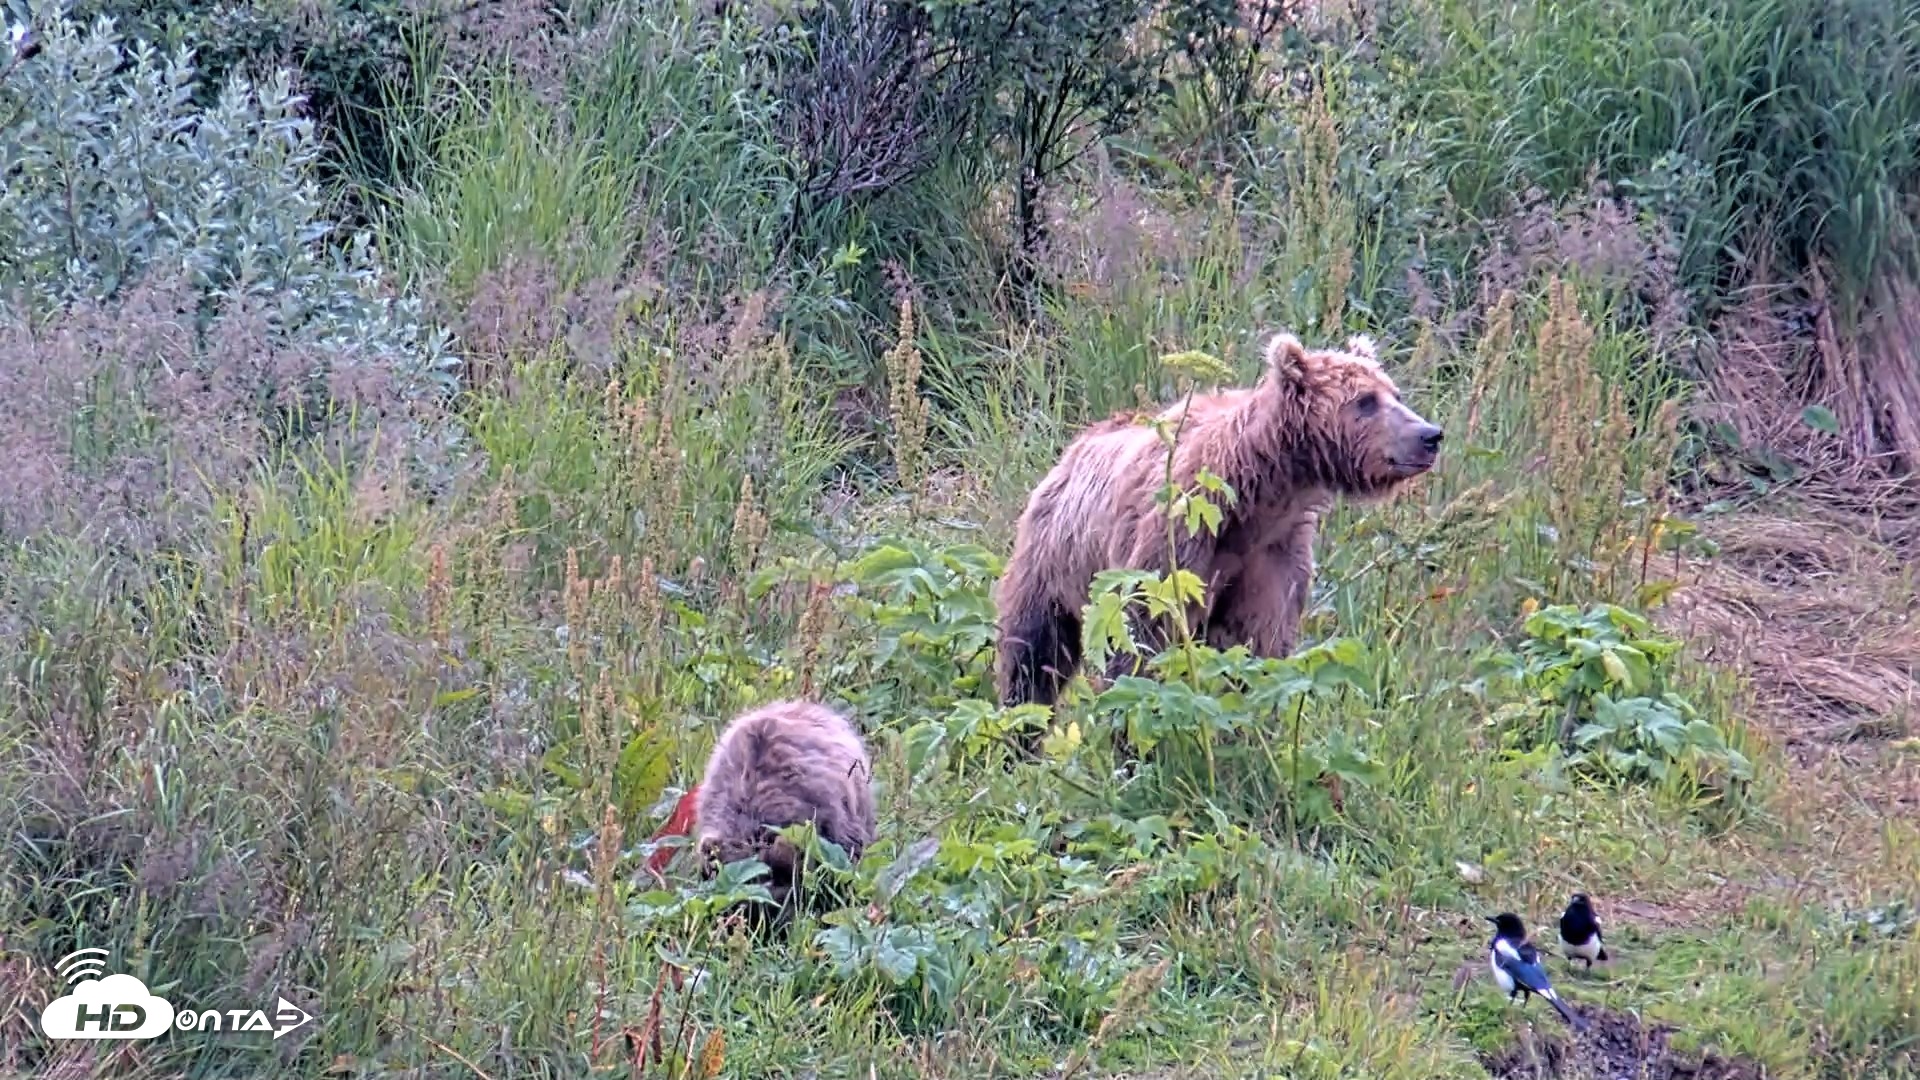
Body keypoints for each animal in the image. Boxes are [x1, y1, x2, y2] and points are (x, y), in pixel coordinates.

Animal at [993, 330, 1443, 717]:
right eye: (1365, 400)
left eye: (1395, 393)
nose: (1430, 434)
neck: (1255, 496)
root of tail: (1070, 451)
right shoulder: (1180, 538)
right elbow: (1145, 639)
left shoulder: (1273, 553)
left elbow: (1258, 643)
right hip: (1055, 563)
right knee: (1034, 656)